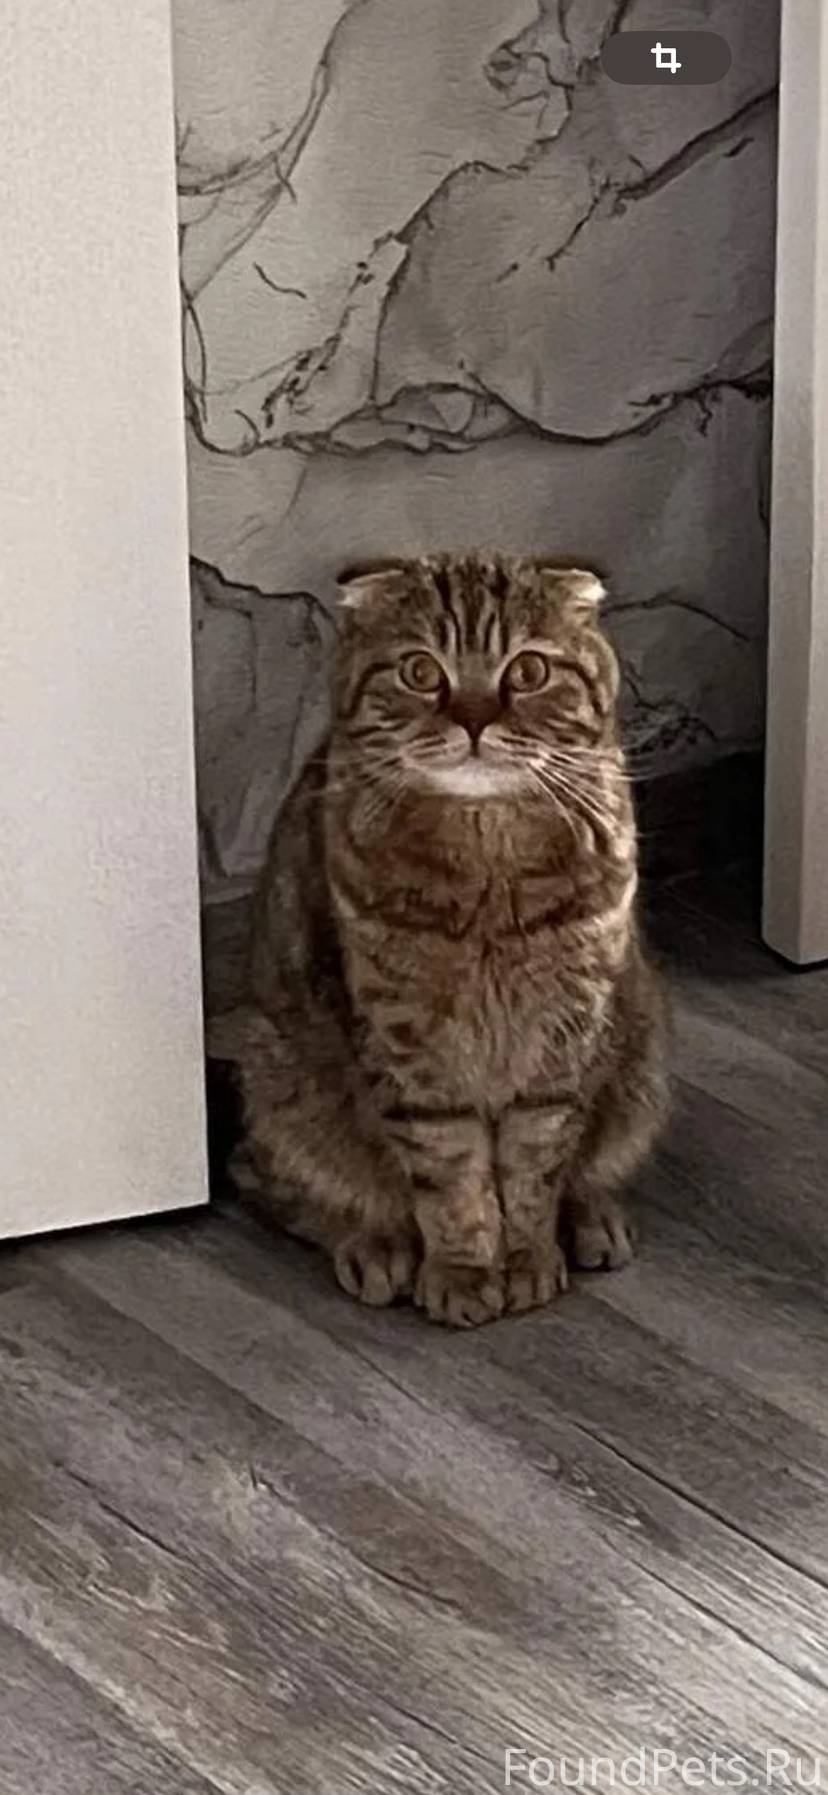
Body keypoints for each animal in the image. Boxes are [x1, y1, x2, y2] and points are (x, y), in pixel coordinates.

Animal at [232, 554, 668, 1326]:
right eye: (419, 671)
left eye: (527, 671)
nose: (472, 717)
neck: (489, 866)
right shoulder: (410, 1042)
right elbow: (449, 1172)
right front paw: (464, 1272)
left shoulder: (566, 1032)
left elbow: (536, 1161)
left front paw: (527, 1257)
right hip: (275, 1064)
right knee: (280, 1186)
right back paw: (372, 1245)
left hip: (642, 1039)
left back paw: (594, 1217)